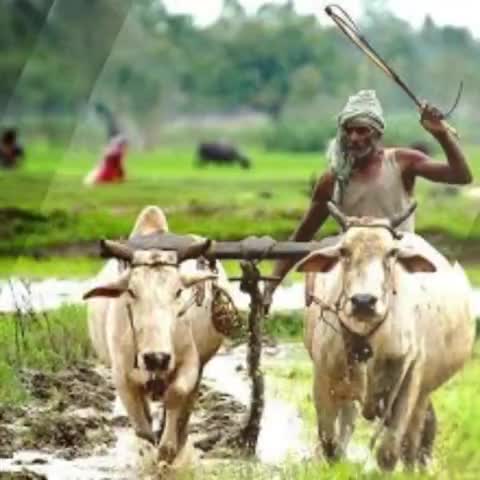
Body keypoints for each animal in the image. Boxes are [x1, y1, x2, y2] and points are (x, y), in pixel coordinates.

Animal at [83, 206, 233, 463]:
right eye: (131, 291)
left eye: (179, 291)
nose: (157, 358)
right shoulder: (121, 376)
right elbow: (142, 429)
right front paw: (151, 452)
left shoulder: (190, 363)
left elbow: (176, 395)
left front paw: (168, 450)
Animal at [294, 202, 475, 471]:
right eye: (344, 251)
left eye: (391, 253)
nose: (363, 301)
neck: (366, 338)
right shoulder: (324, 379)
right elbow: (329, 442)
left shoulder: (408, 379)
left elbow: (388, 452)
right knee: (347, 425)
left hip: (422, 392)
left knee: (412, 442)